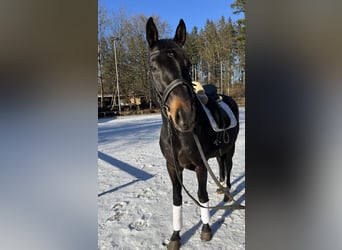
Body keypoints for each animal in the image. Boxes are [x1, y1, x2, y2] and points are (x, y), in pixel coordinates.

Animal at [146, 17, 240, 248]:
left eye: (188, 65)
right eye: (153, 67)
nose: (185, 116)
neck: (179, 136)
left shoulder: (200, 166)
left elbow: (202, 195)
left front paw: (206, 230)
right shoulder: (173, 167)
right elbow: (177, 199)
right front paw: (175, 236)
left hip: (230, 148)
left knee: (229, 166)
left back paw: (227, 194)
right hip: (218, 152)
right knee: (221, 165)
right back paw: (221, 187)